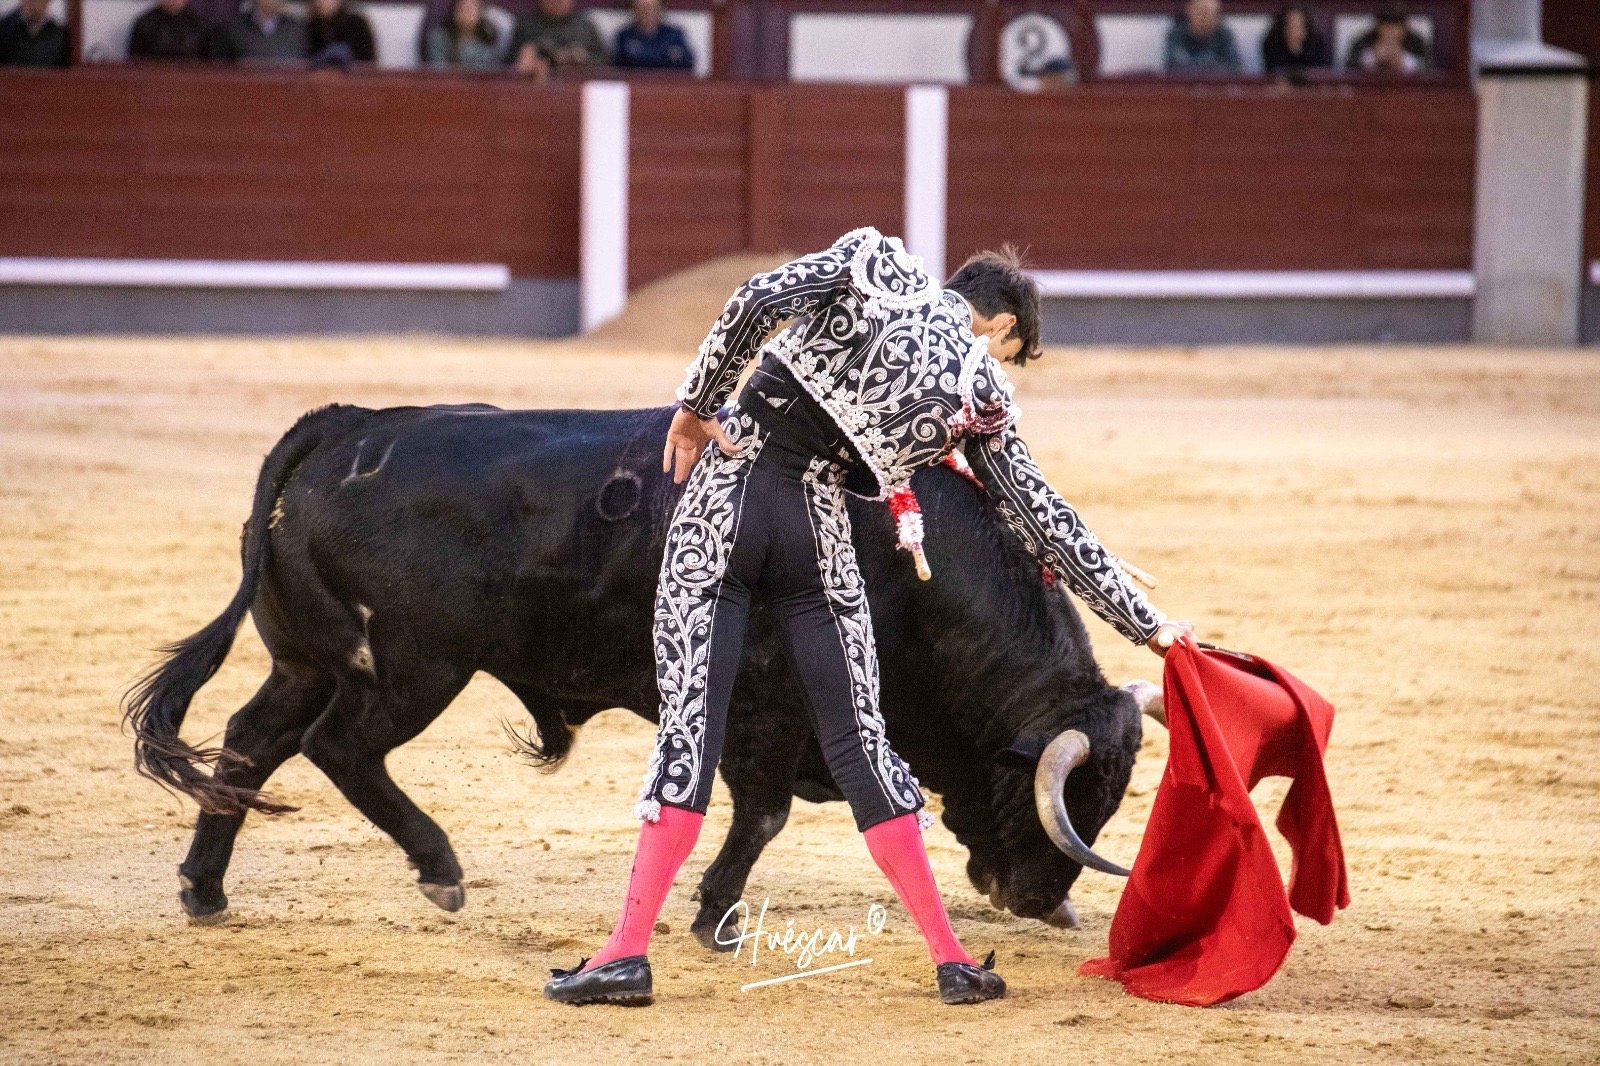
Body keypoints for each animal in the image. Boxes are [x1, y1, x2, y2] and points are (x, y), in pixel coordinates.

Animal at [124, 402, 1163, 945]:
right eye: (1053, 800)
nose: (1046, 904)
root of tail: (346, 427)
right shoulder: (770, 707)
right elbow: (763, 814)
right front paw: (715, 918)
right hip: (415, 669)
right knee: (339, 749)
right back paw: (440, 870)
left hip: (307, 658)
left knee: (251, 743)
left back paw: (204, 891)